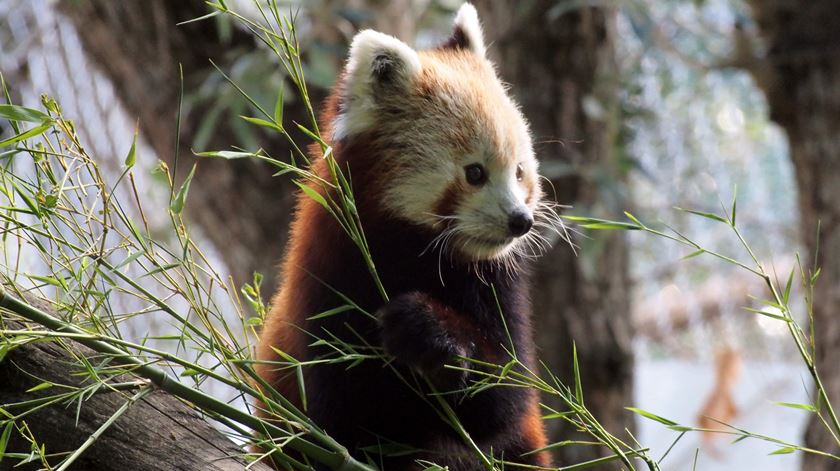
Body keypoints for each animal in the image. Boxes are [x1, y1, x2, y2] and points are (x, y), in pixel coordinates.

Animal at [256, 4, 556, 471]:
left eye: (520, 171)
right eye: (475, 173)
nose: (520, 222)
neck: (414, 254)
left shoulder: (499, 287)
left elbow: (503, 400)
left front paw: (431, 332)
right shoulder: (329, 282)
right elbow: (339, 421)